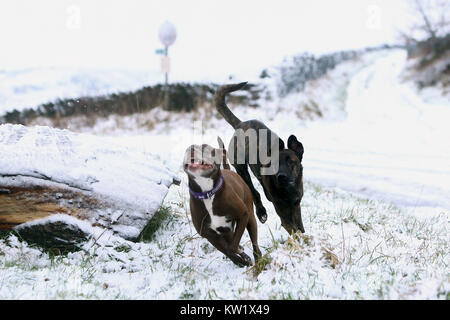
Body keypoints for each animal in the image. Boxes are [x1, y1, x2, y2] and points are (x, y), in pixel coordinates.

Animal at [214, 82, 306, 232]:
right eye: (275, 163)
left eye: (291, 162)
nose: (281, 176)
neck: (288, 189)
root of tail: (239, 124)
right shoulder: (282, 212)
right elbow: (293, 230)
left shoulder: (296, 205)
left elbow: (300, 228)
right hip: (241, 169)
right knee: (254, 191)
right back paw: (261, 212)